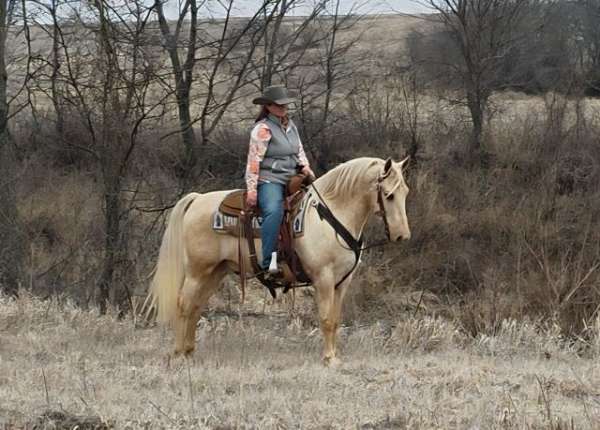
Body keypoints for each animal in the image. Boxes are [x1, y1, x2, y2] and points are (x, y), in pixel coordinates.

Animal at [147, 156, 410, 364]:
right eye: (389, 195)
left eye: (405, 192)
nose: (402, 235)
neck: (330, 215)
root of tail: (197, 199)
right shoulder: (323, 278)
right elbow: (326, 319)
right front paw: (328, 359)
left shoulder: (342, 282)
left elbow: (335, 320)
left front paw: (335, 356)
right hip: (197, 271)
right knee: (183, 304)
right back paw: (179, 353)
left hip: (215, 272)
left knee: (195, 306)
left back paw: (189, 351)